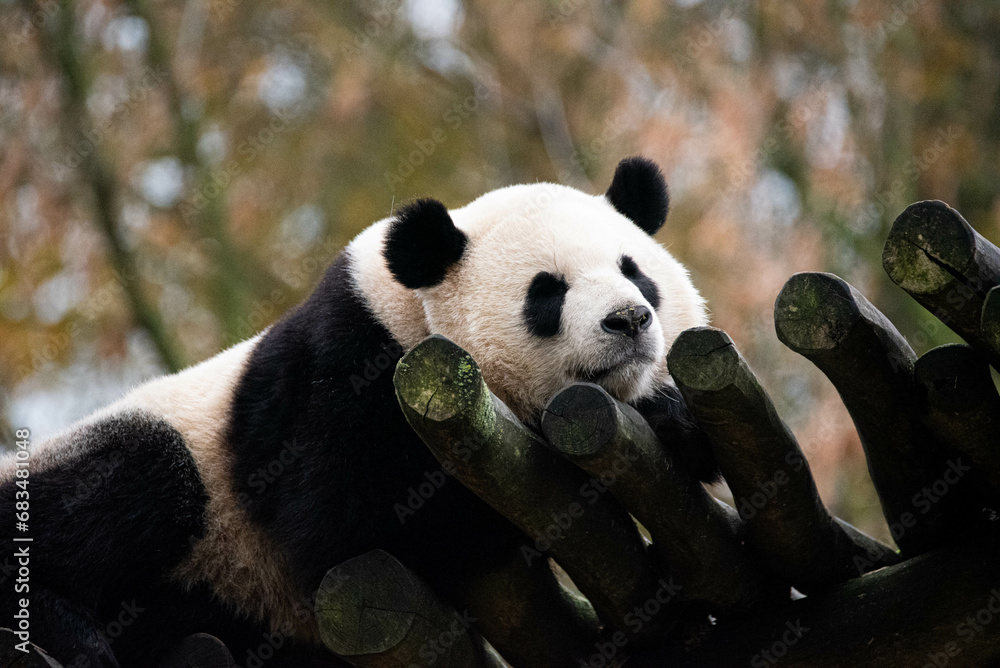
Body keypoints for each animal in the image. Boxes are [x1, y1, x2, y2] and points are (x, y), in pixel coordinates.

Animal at [0, 157, 712, 667]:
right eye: (547, 292)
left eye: (635, 271)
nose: (628, 319)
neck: (410, 313)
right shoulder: (340, 374)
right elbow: (350, 527)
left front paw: (671, 416)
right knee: (138, 477)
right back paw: (66, 628)